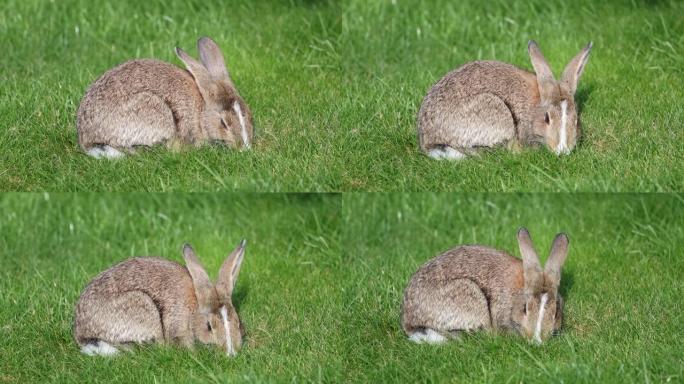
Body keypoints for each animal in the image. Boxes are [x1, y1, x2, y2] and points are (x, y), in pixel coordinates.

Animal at [73, 240, 248, 356]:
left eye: (239, 323)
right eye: (209, 326)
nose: (231, 353)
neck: (194, 309)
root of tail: (82, 335)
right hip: (144, 308)